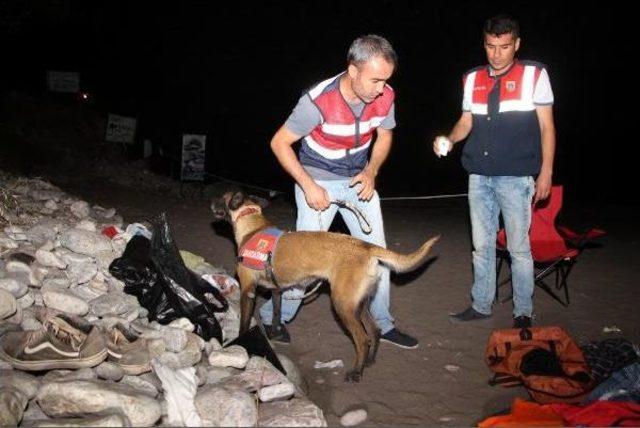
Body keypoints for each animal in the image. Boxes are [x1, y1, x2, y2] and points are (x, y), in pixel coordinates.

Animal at [211, 191, 440, 382]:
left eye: (222, 197)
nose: (211, 202)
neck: (252, 225)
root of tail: (365, 246)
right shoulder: (277, 290)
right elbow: (276, 315)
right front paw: (274, 335)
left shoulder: (248, 291)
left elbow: (244, 324)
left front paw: (242, 342)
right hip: (359, 304)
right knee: (374, 330)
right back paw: (369, 361)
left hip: (342, 305)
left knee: (362, 339)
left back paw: (356, 372)